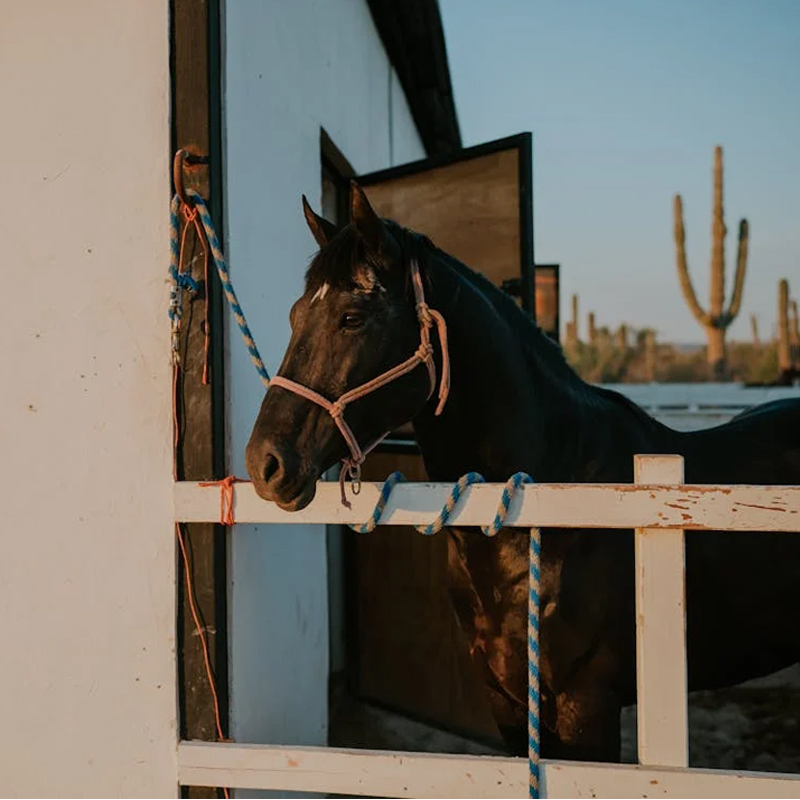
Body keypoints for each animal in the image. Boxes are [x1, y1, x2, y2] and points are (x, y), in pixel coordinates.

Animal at [245, 183, 800, 762]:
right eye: (294, 315)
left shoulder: (587, 705)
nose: (265, 462)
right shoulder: (506, 700)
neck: (558, 505)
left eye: (352, 317)